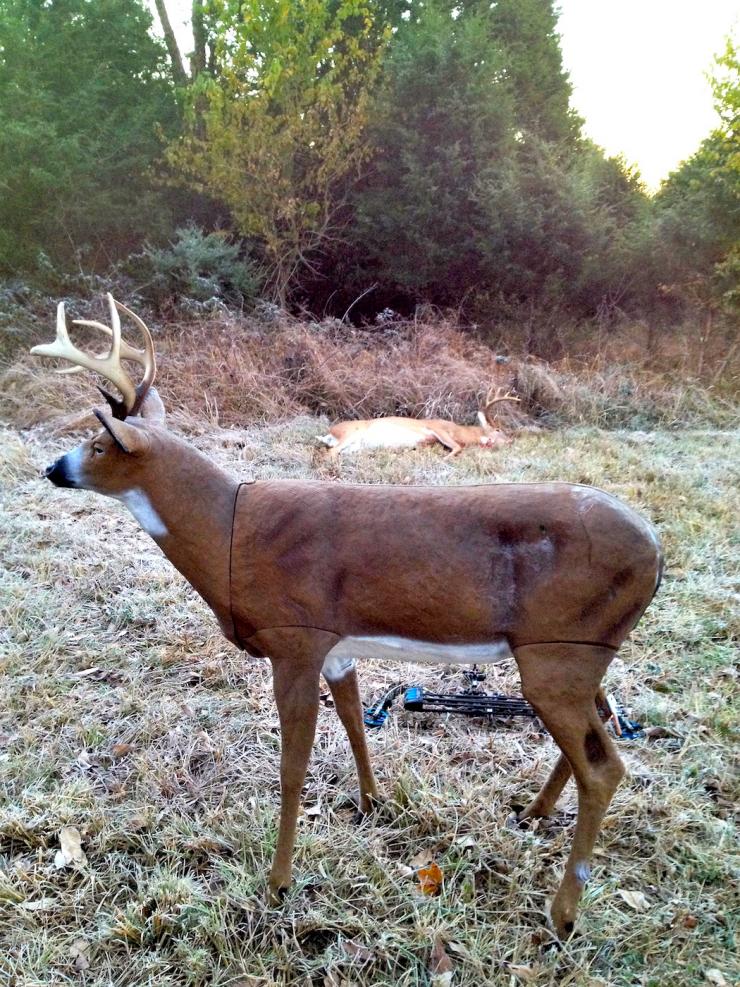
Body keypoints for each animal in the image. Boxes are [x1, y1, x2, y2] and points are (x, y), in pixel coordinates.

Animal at [316, 390, 520, 459]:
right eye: (498, 429)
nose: (511, 441)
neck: (460, 431)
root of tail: (330, 432)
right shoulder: (437, 427)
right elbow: (457, 446)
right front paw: (445, 459)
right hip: (352, 432)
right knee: (329, 453)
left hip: (355, 447)